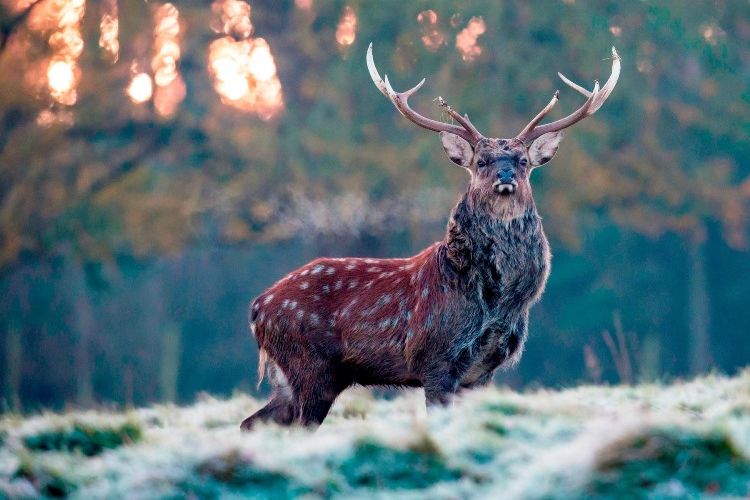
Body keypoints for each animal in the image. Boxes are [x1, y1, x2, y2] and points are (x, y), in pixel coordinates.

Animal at [242, 44, 624, 430]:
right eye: (481, 162)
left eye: (522, 161)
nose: (505, 175)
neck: (498, 303)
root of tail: (258, 308)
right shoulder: (436, 359)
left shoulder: (482, 372)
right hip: (310, 367)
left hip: (294, 377)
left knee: (253, 422)